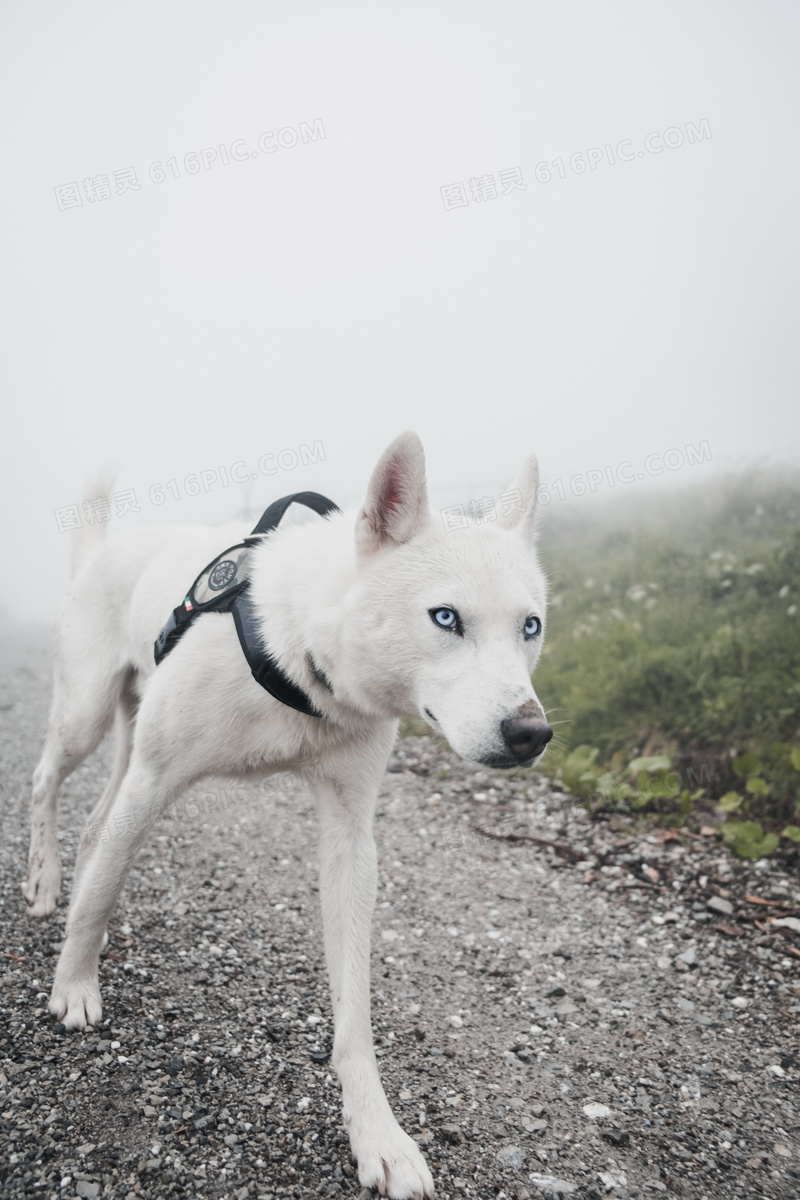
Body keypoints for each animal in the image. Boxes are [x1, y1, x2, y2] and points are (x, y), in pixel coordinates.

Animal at [23, 434, 551, 1200]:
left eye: (530, 627)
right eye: (446, 618)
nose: (531, 734)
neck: (301, 651)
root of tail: (104, 549)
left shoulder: (350, 838)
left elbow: (354, 1010)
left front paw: (376, 1132)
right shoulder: (155, 781)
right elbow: (96, 899)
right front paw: (73, 986)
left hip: (123, 747)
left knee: (97, 829)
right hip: (86, 720)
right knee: (47, 786)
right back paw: (43, 882)